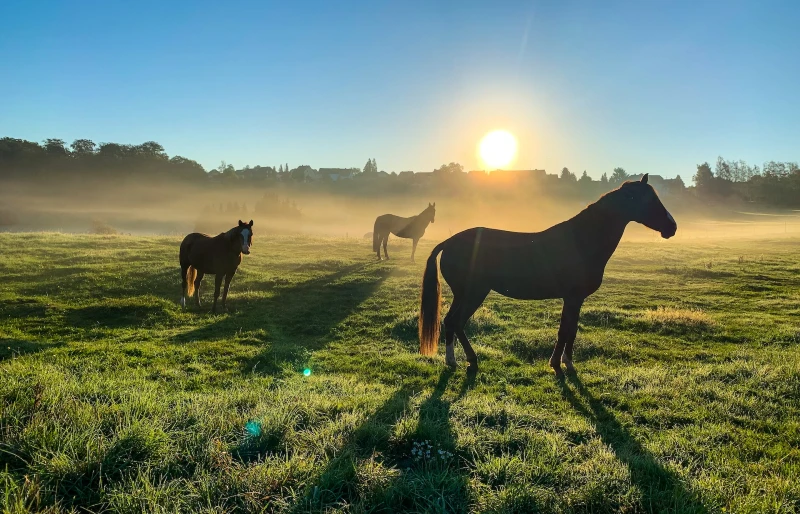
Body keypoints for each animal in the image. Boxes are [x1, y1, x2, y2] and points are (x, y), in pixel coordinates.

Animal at [418, 175, 677, 377]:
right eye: (649, 200)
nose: (672, 227)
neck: (581, 240)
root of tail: (449, 242)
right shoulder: (572, 298)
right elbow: (565, 331)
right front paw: (560, 364)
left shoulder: (575, 300)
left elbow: (571, 330)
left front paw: (565, 362)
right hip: (473, 293)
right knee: (456, 322)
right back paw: (465, 360)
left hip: (466, 294)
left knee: (452, 322)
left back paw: (457, 360)